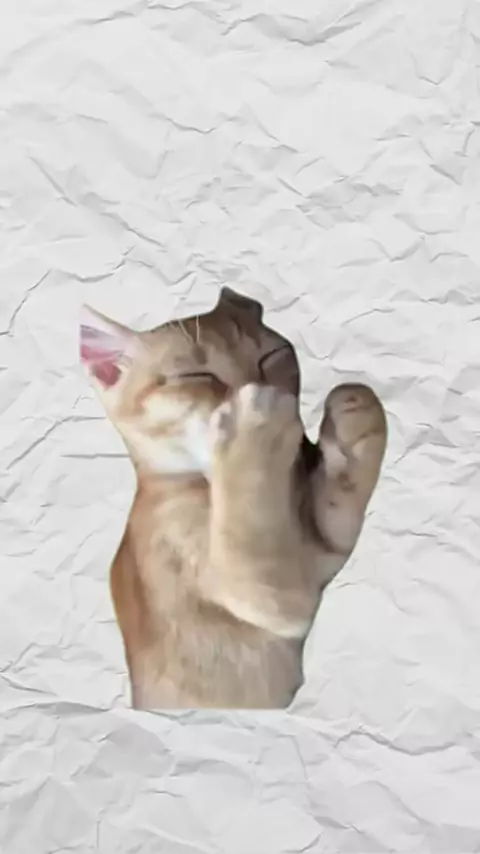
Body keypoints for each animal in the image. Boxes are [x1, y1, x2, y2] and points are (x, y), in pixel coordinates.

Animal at [79, 287, 387, 709]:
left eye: (270, 356)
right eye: (197, 375)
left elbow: (339, 513)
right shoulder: (268, 594)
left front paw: (353, 412)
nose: (253, 387)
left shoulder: (318, 558)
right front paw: (256, 427)